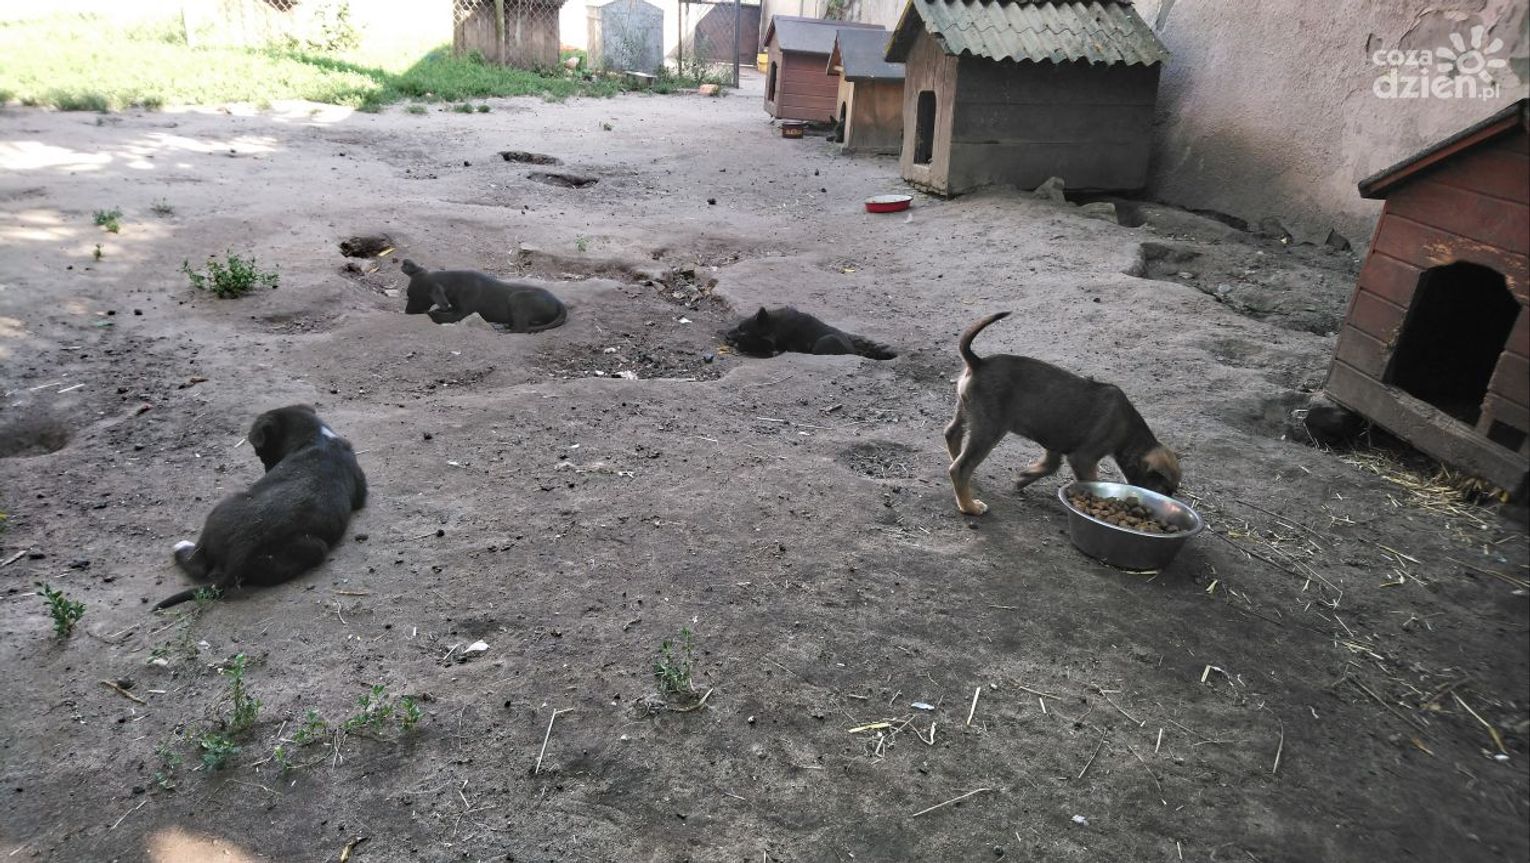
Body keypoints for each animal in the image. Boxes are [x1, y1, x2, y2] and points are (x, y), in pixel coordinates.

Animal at [154, 405, 367, 610]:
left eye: (260, 452)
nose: (267, 471)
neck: (317, 435)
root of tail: (240, 553)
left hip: (221, 509)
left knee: (197, 563)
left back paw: (180, 546)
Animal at [401, 259, 567, 332]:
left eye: (415, 297)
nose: (406, 312)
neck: (455, 283)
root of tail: (558, 302)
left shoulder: (462, 313)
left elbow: (438, 315)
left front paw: (432, 313)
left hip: (518, 299)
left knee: (521, 328)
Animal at [944, 312, 1181, 516]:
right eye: (1164, 488)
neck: (1129, 431)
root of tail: (978, 362)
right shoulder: (1084, 458)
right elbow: (1088, 481)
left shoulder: (1055, 441)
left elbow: (1049, 465)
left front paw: (1023, 478)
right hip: (989, 428)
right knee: (960, 468)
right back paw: (969, 506)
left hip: (966, 411)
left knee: (952, 436)